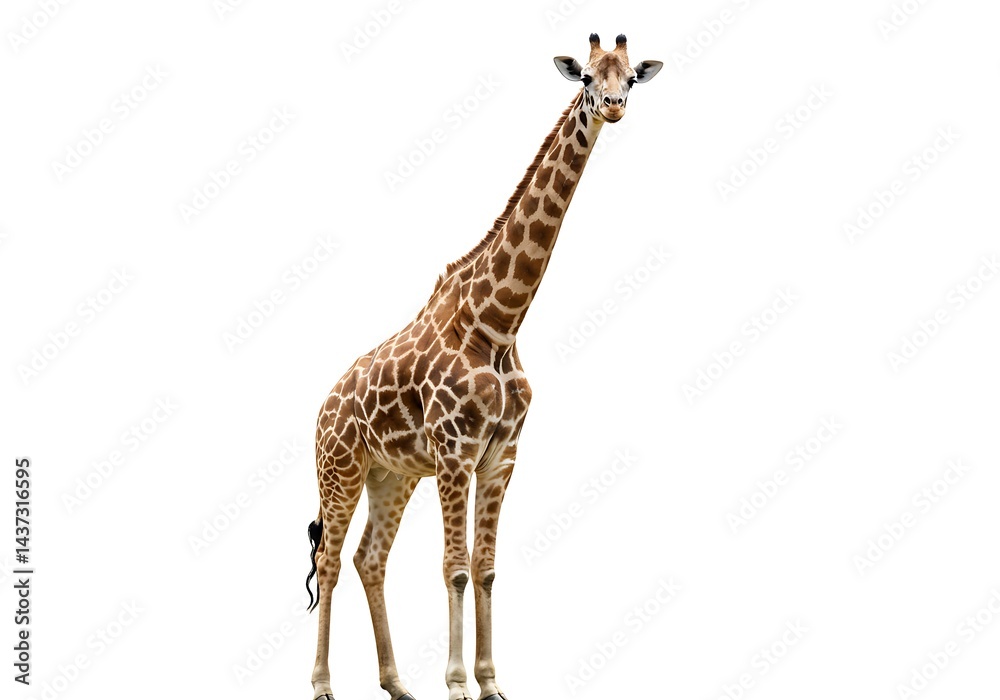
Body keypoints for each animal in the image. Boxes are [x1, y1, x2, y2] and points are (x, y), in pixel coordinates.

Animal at [306, 33, 662, 700]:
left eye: (630, 76)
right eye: (586, 78)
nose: (613, 106)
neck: (498, 323)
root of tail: (321, 409)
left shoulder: (501, 455)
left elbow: (487, 568)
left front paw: (492, 682)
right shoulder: (455, 453)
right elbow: (454, 569)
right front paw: (456, 684)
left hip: (391, 475)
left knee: (370, 558)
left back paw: (397, 684)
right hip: (339, 469)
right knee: (329, 560)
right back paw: (321, 684)